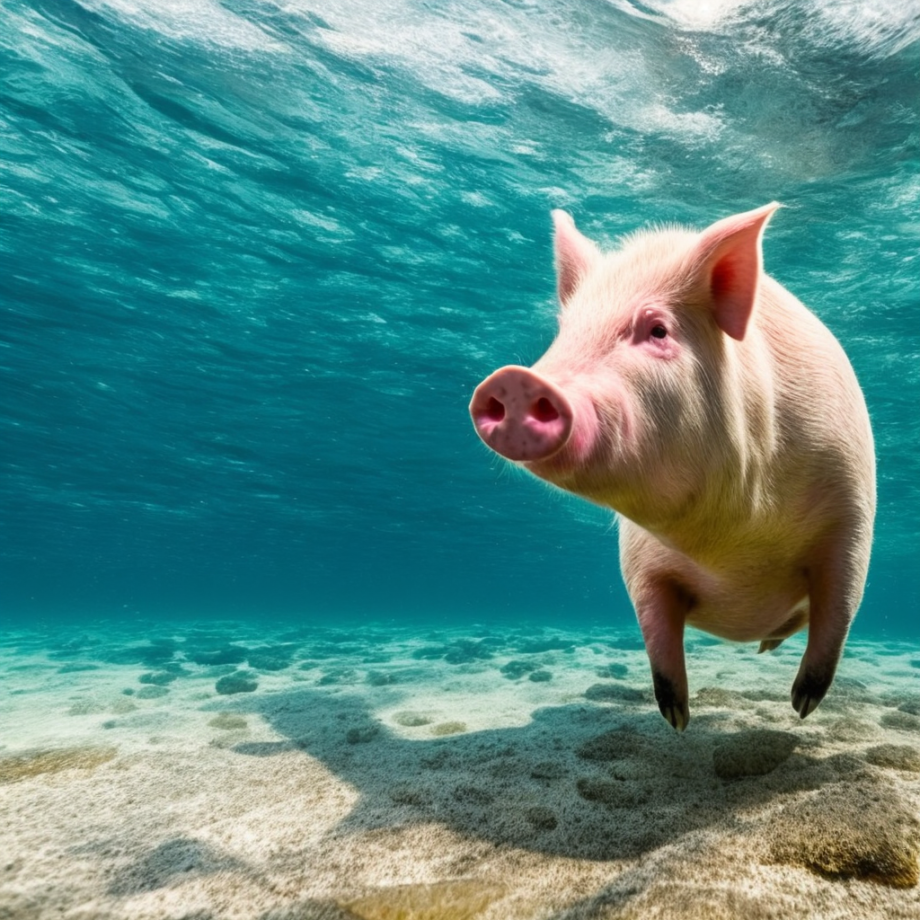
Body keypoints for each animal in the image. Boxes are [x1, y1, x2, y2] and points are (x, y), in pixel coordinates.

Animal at [470, 204, 875, 731]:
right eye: (565, 334)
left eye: (658, 330)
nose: (514, 379)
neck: (731, 545)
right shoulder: (638, 559)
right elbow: (654, 626)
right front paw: (677, 719)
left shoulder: (852, 512)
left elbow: (841, 607)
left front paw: (801, 706)